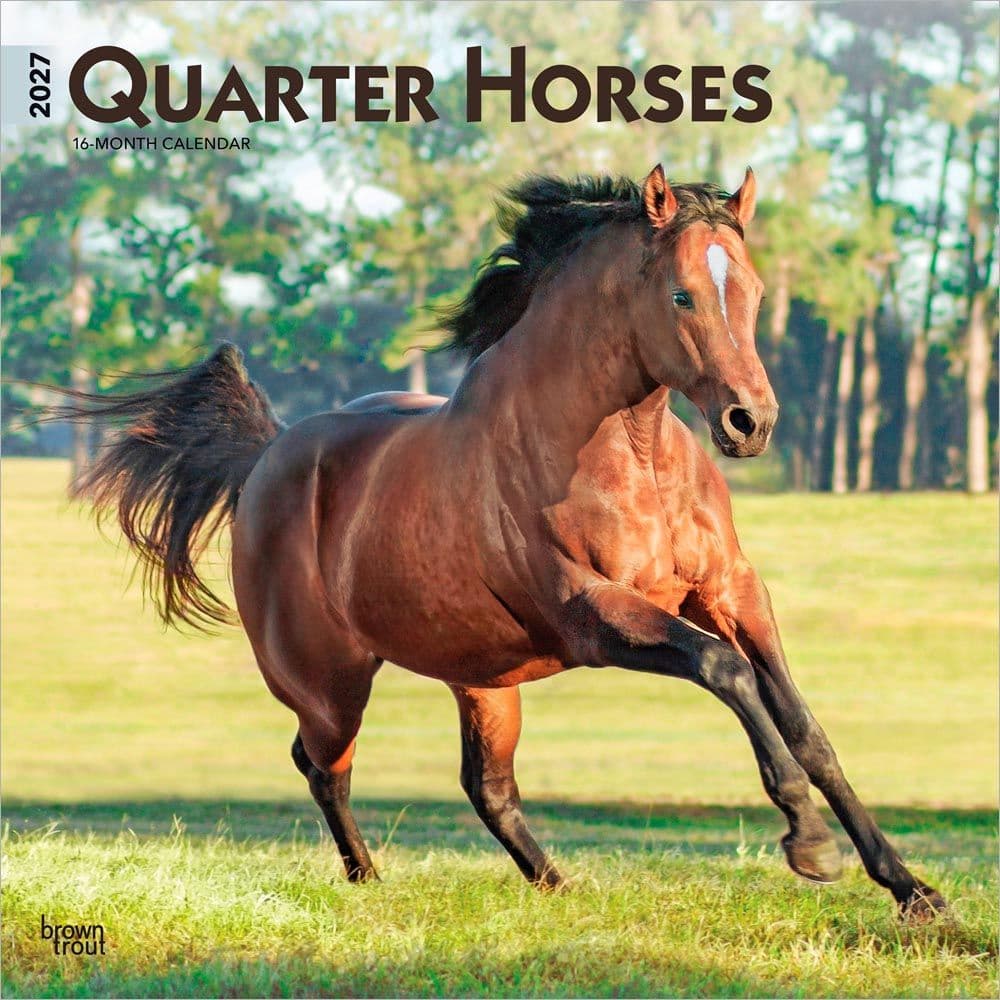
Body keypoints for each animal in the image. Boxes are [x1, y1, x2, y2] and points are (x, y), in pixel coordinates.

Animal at [49, 165, 945, 920]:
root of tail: (266, 457)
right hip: (330, 684)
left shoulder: (728, 590)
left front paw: (913, 891)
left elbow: (805, 726)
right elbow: (728, 674)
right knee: (321, 764)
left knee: (486, 786)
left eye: (753, 291)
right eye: (684, 296)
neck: (632, 453)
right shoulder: (593, 614)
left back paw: (557, 885)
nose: (749, 422)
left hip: (484, 680)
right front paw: (811, 845)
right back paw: (371, 880)